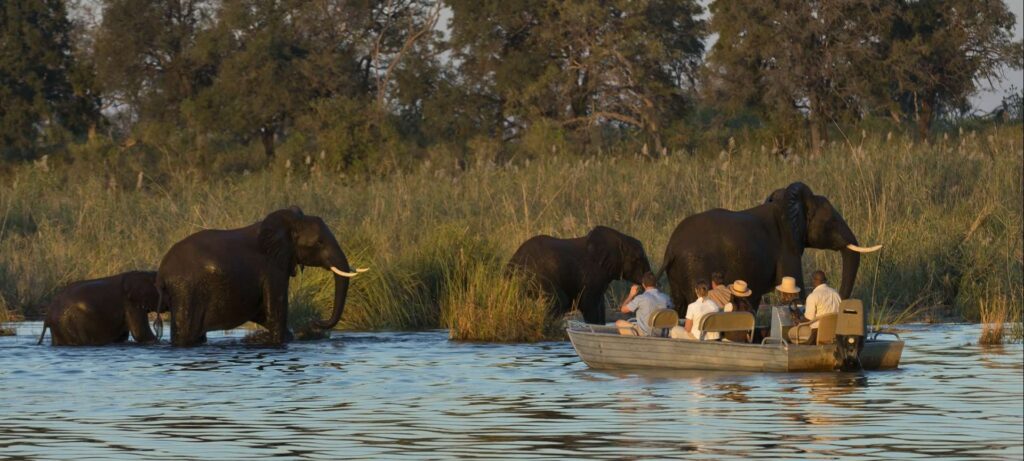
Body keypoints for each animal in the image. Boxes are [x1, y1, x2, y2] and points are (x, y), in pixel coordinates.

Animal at [155, 206, 368, 348]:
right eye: (319, 243)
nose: (314, 321)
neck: (289, 224)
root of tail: (162, 272)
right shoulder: (272, 268)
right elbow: (275, 308)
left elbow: (263, 312)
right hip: (185, 289)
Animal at [507, 226, 651, 323]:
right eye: (637, 259)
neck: (619, 239)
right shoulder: (592, 273)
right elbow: (590, 304)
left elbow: (600, 306)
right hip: (536, 275)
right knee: (559, 301)